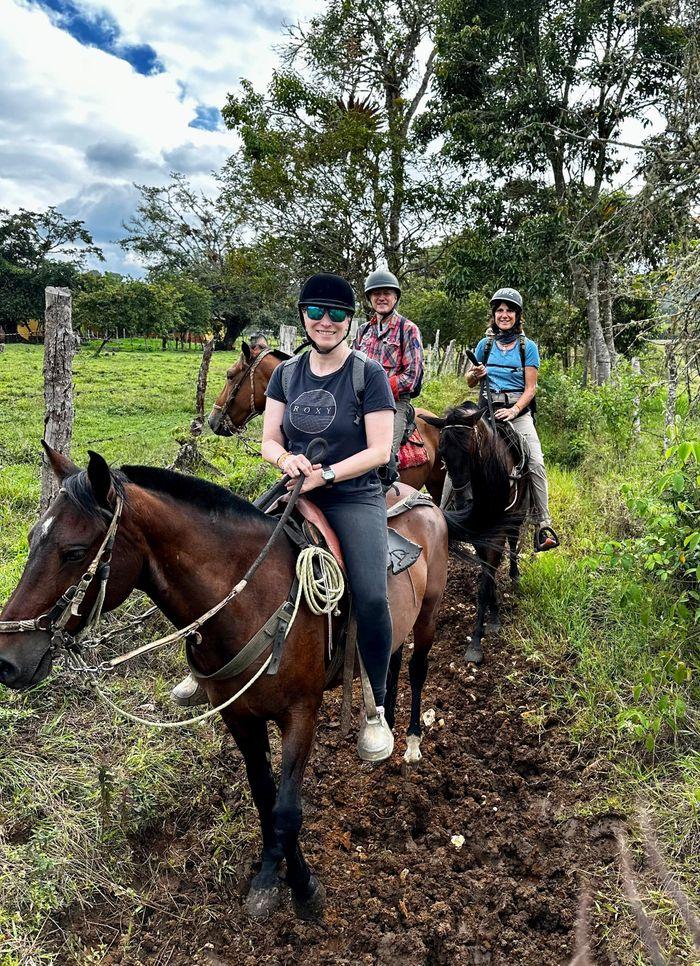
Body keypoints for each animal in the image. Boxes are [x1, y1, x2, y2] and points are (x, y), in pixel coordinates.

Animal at [0, 446, 448, 924]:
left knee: (416, 666)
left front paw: (300, 888)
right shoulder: (239, 717)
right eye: (33, 538)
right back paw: (382, 721)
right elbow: (265, 798)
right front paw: (273, 875)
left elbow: (288, 808)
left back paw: (410, 741)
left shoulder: (301, 713)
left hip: (428, 614)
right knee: (389, 659)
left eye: (74, 551)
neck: (251, 601)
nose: (7, 661)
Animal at [418, 402, 528, 664]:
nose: (463, 503)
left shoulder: (497, 530)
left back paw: (515, 574)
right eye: (442, 455)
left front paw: (476, 642)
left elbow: (485, 583)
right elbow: (488, 576)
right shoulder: (479, 532)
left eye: (472, 453)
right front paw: (494, 616)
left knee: (514, 539)